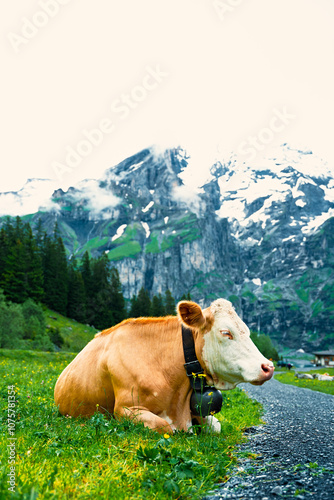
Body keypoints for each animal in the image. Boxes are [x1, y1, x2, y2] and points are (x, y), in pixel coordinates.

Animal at [54, 300, 274, 434]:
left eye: (247, 331)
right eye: (226, 332)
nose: (268, 366)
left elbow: (215, 426)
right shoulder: (125, 409)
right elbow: (166, 427)